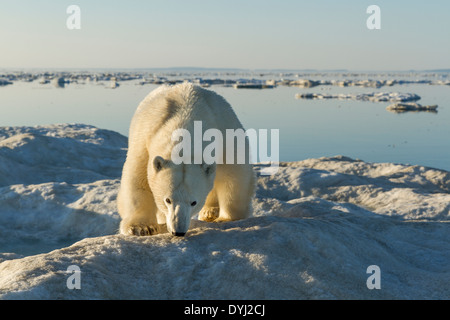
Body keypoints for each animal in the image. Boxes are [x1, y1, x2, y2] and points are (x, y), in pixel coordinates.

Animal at [118, 83, 255, 235]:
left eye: (194, 202)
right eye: (168, 200)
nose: (178, 231)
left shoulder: (225, 135)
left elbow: (233, 174)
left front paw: (226, 218)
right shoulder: (145, 139)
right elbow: (138, 179)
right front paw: (140, 227)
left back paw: (210, 211)